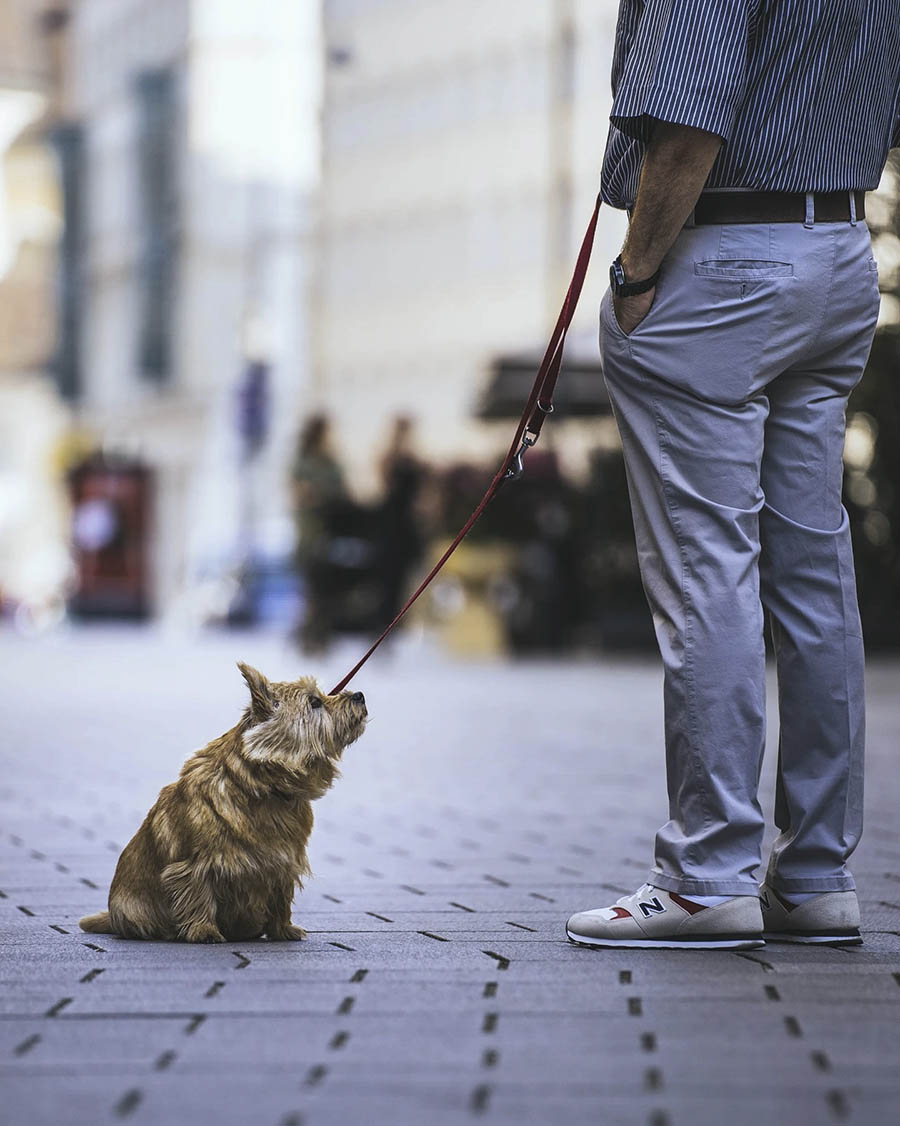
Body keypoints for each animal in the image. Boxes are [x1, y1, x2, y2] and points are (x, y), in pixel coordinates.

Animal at [79, 662, 367, 945]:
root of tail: (112, 915)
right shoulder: (196, 865)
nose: (359, 695)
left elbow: (281, 899)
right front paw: (203, 931)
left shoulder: (284, 863)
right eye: (314, 702)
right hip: (134, 910)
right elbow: (199, 895)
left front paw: (284, 930)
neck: (260, 787)